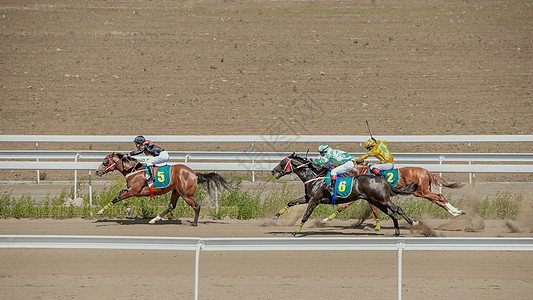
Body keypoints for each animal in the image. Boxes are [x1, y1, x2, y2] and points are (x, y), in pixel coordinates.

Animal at [95, 152, 229, 225]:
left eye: (105, 161)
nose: (97, 171)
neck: (133, 170)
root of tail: (193, 173)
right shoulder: (132, 191)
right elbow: (120, 195)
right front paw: (128, 211)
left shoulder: (134, 191)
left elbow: (117, 198)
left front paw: (100, 211)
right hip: (176, 191)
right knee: (171, 206)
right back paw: (154, 219)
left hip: (186, 194)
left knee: (196, 206)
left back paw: (194, 223)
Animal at [272, 154, 418, 236]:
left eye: (282, 162)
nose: (273, 171)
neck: (314, 177)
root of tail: (383, 179)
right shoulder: (308, 198)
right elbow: (291, 203)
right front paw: (276, 216)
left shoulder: (314, 200)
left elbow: (305, 216)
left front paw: (296, 232)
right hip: (376, 201)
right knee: (392, 213)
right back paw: (397, 232)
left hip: (382, 200)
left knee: (397, 209)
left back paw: (413, 223)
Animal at [320, 161, 466, 226]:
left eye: (326, 170)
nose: (327, 183)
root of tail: (426, 172)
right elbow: (345, 206)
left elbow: (371, 209)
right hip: (424, 192)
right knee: (438, 200)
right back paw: (457, 213)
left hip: (421, 192)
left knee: (440, 197)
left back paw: (457, 212)